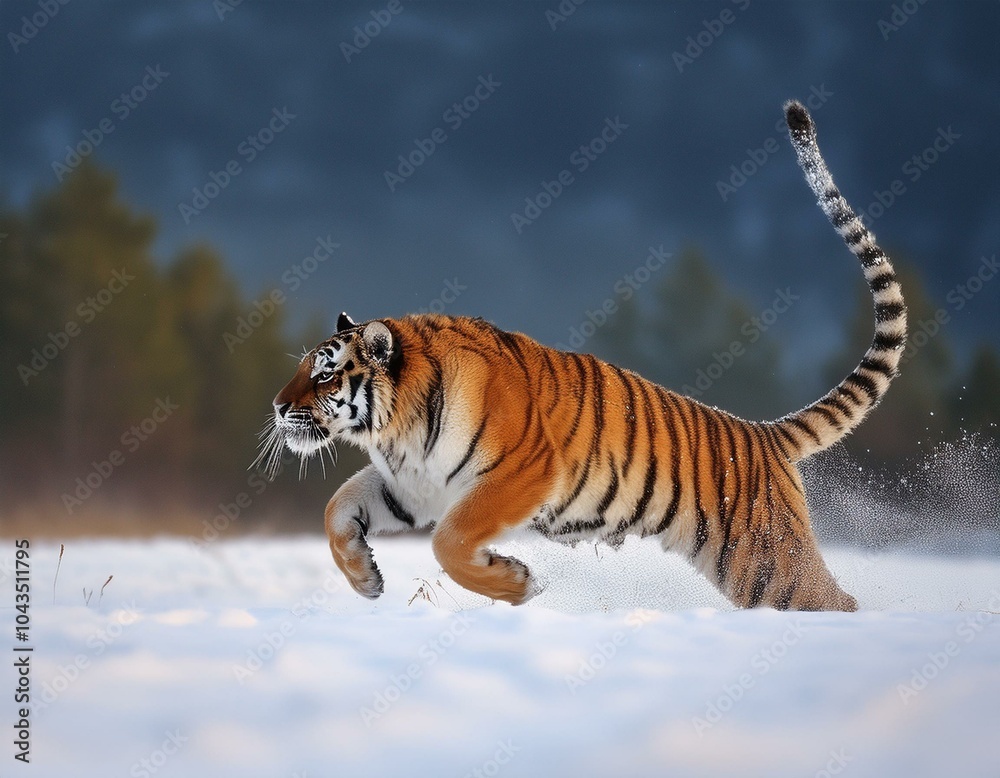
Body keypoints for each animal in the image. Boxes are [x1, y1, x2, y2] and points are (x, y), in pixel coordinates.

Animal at [256, 100, 906, 611]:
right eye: (301, 369)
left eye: (325, 374)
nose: (277, 406)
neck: (395, 431)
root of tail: (762, 434)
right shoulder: (411, 484)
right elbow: (336, 509)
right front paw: (365, 580)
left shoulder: (522, 472)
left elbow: (449, 540)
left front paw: (517, 586)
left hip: (767, 561)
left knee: (832, 601)